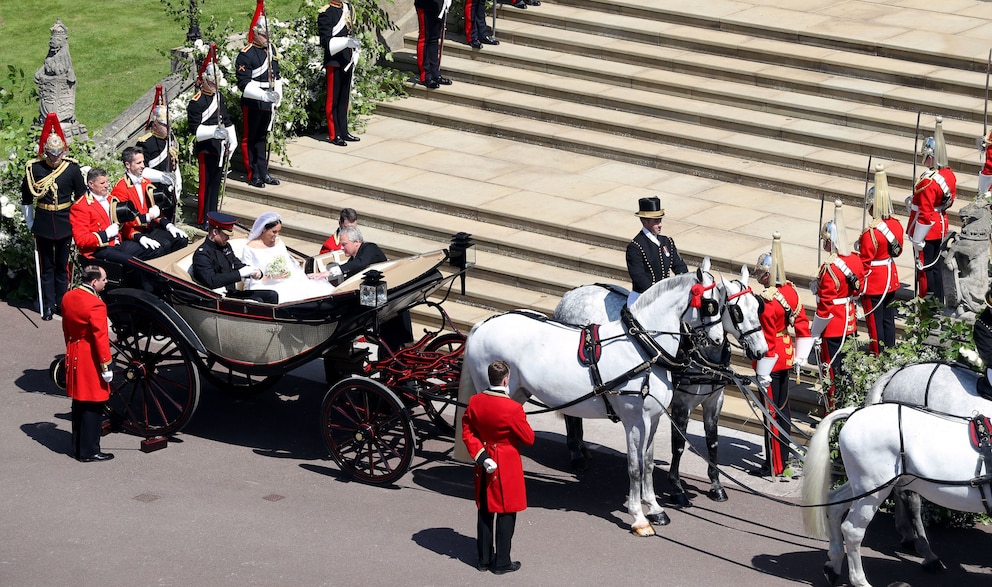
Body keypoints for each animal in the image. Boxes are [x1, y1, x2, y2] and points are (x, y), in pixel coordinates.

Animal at [462, 272, 724, 536]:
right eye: (711, 304)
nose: (719, 340)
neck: (642, 348)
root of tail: (484, 324)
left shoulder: (654, 418)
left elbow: (648, 463)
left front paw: (654, 508)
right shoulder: (634, 421)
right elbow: (635, 466)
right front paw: (639, 517)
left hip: (515, 395)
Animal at [552, 264, 768, 504]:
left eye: (757, 307)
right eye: (737, 311)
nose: (762, 351)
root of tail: (571, 294)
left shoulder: (714, 401)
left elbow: (713, 442)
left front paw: (716, 485)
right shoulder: (682, 404)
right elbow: (679, 445)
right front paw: (677, 487)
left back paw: (581, 448)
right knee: (570, 414)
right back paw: (576, 454)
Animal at [804, 404, 992, 587]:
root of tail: (856, 412)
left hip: (864, 486)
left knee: (835, 505)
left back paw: (833, 566)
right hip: (873, 489)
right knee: (852, 531)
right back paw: (860, 581)